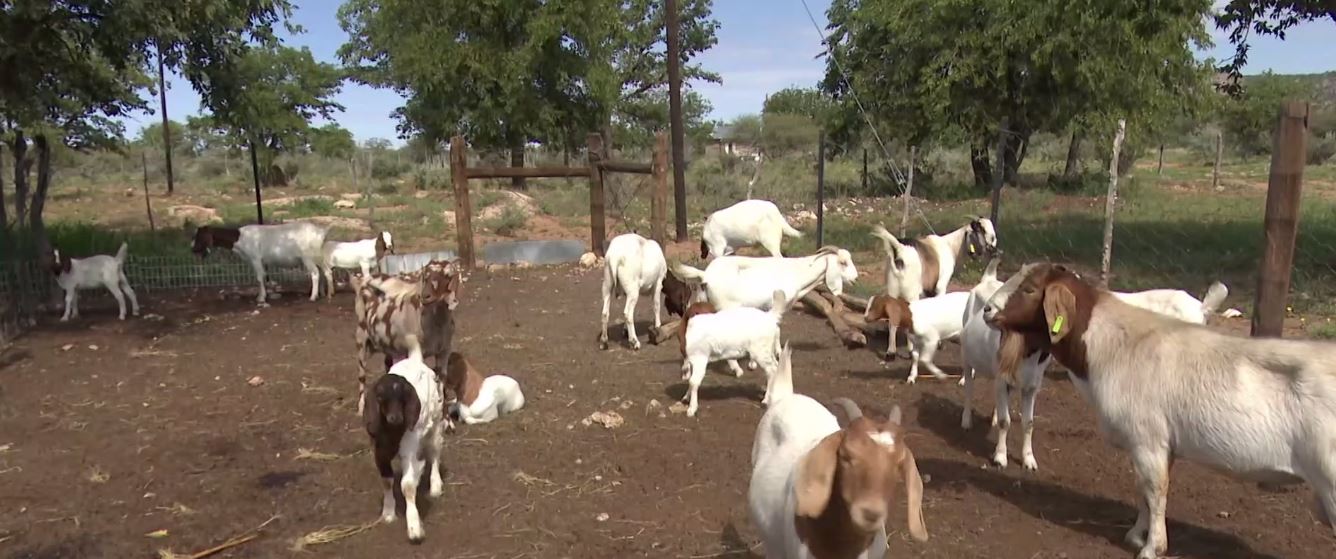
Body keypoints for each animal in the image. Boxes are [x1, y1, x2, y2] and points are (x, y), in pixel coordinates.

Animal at [191, 222, 329, 305]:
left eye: (199, 236)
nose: (193, 249)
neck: (240, 238)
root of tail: (321, 233)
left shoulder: (255, 258)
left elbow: (259, 277)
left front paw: (261, 298)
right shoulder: (258, 261)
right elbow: (262, 277)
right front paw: (264, 295)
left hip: (307, 257)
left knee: (315, 273)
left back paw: (313, 296)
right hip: (318, 256)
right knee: (322, 271)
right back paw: (321, 293)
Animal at [352, 260, 461, 416]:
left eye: (447, 275)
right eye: (425, 275)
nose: (425, 296)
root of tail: (364, 281)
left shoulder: (444, 350)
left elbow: (441, 381)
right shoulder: (416, 351)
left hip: (390, 345)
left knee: (388, 365)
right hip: (361, 337)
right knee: (362, 374)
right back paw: (361, 408)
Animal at [364, 336, 446, 544]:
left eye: (402, 396)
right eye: (380, 397)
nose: (396, 418)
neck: (392, 432)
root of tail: (415, 359)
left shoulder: (409, 447)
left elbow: (408, 485)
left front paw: (414, 529)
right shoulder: (379, 452)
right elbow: (387, 481)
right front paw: (388, 514)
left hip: (435, 423)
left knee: (434, 453)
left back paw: (435, 486)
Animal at [958, 258, 1053, 471]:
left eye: (1029, 289)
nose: (988, 310)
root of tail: (988, 279)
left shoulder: (1031, 387)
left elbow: (1029, 423)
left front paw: (1029, 459)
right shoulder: (1003, 380)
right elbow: (1005, 421)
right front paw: (1000, 457)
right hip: (967, 356)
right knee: (968, 388)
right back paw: (966, 421)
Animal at [984, 262, 1336, 558]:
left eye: (1030, 288)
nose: (987, 308)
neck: (1113, 344)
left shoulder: (1148, 438)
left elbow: (1155, 490)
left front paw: (1152, 548)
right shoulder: (1159, 444)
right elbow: (1144, 488)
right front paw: (1136, 535)